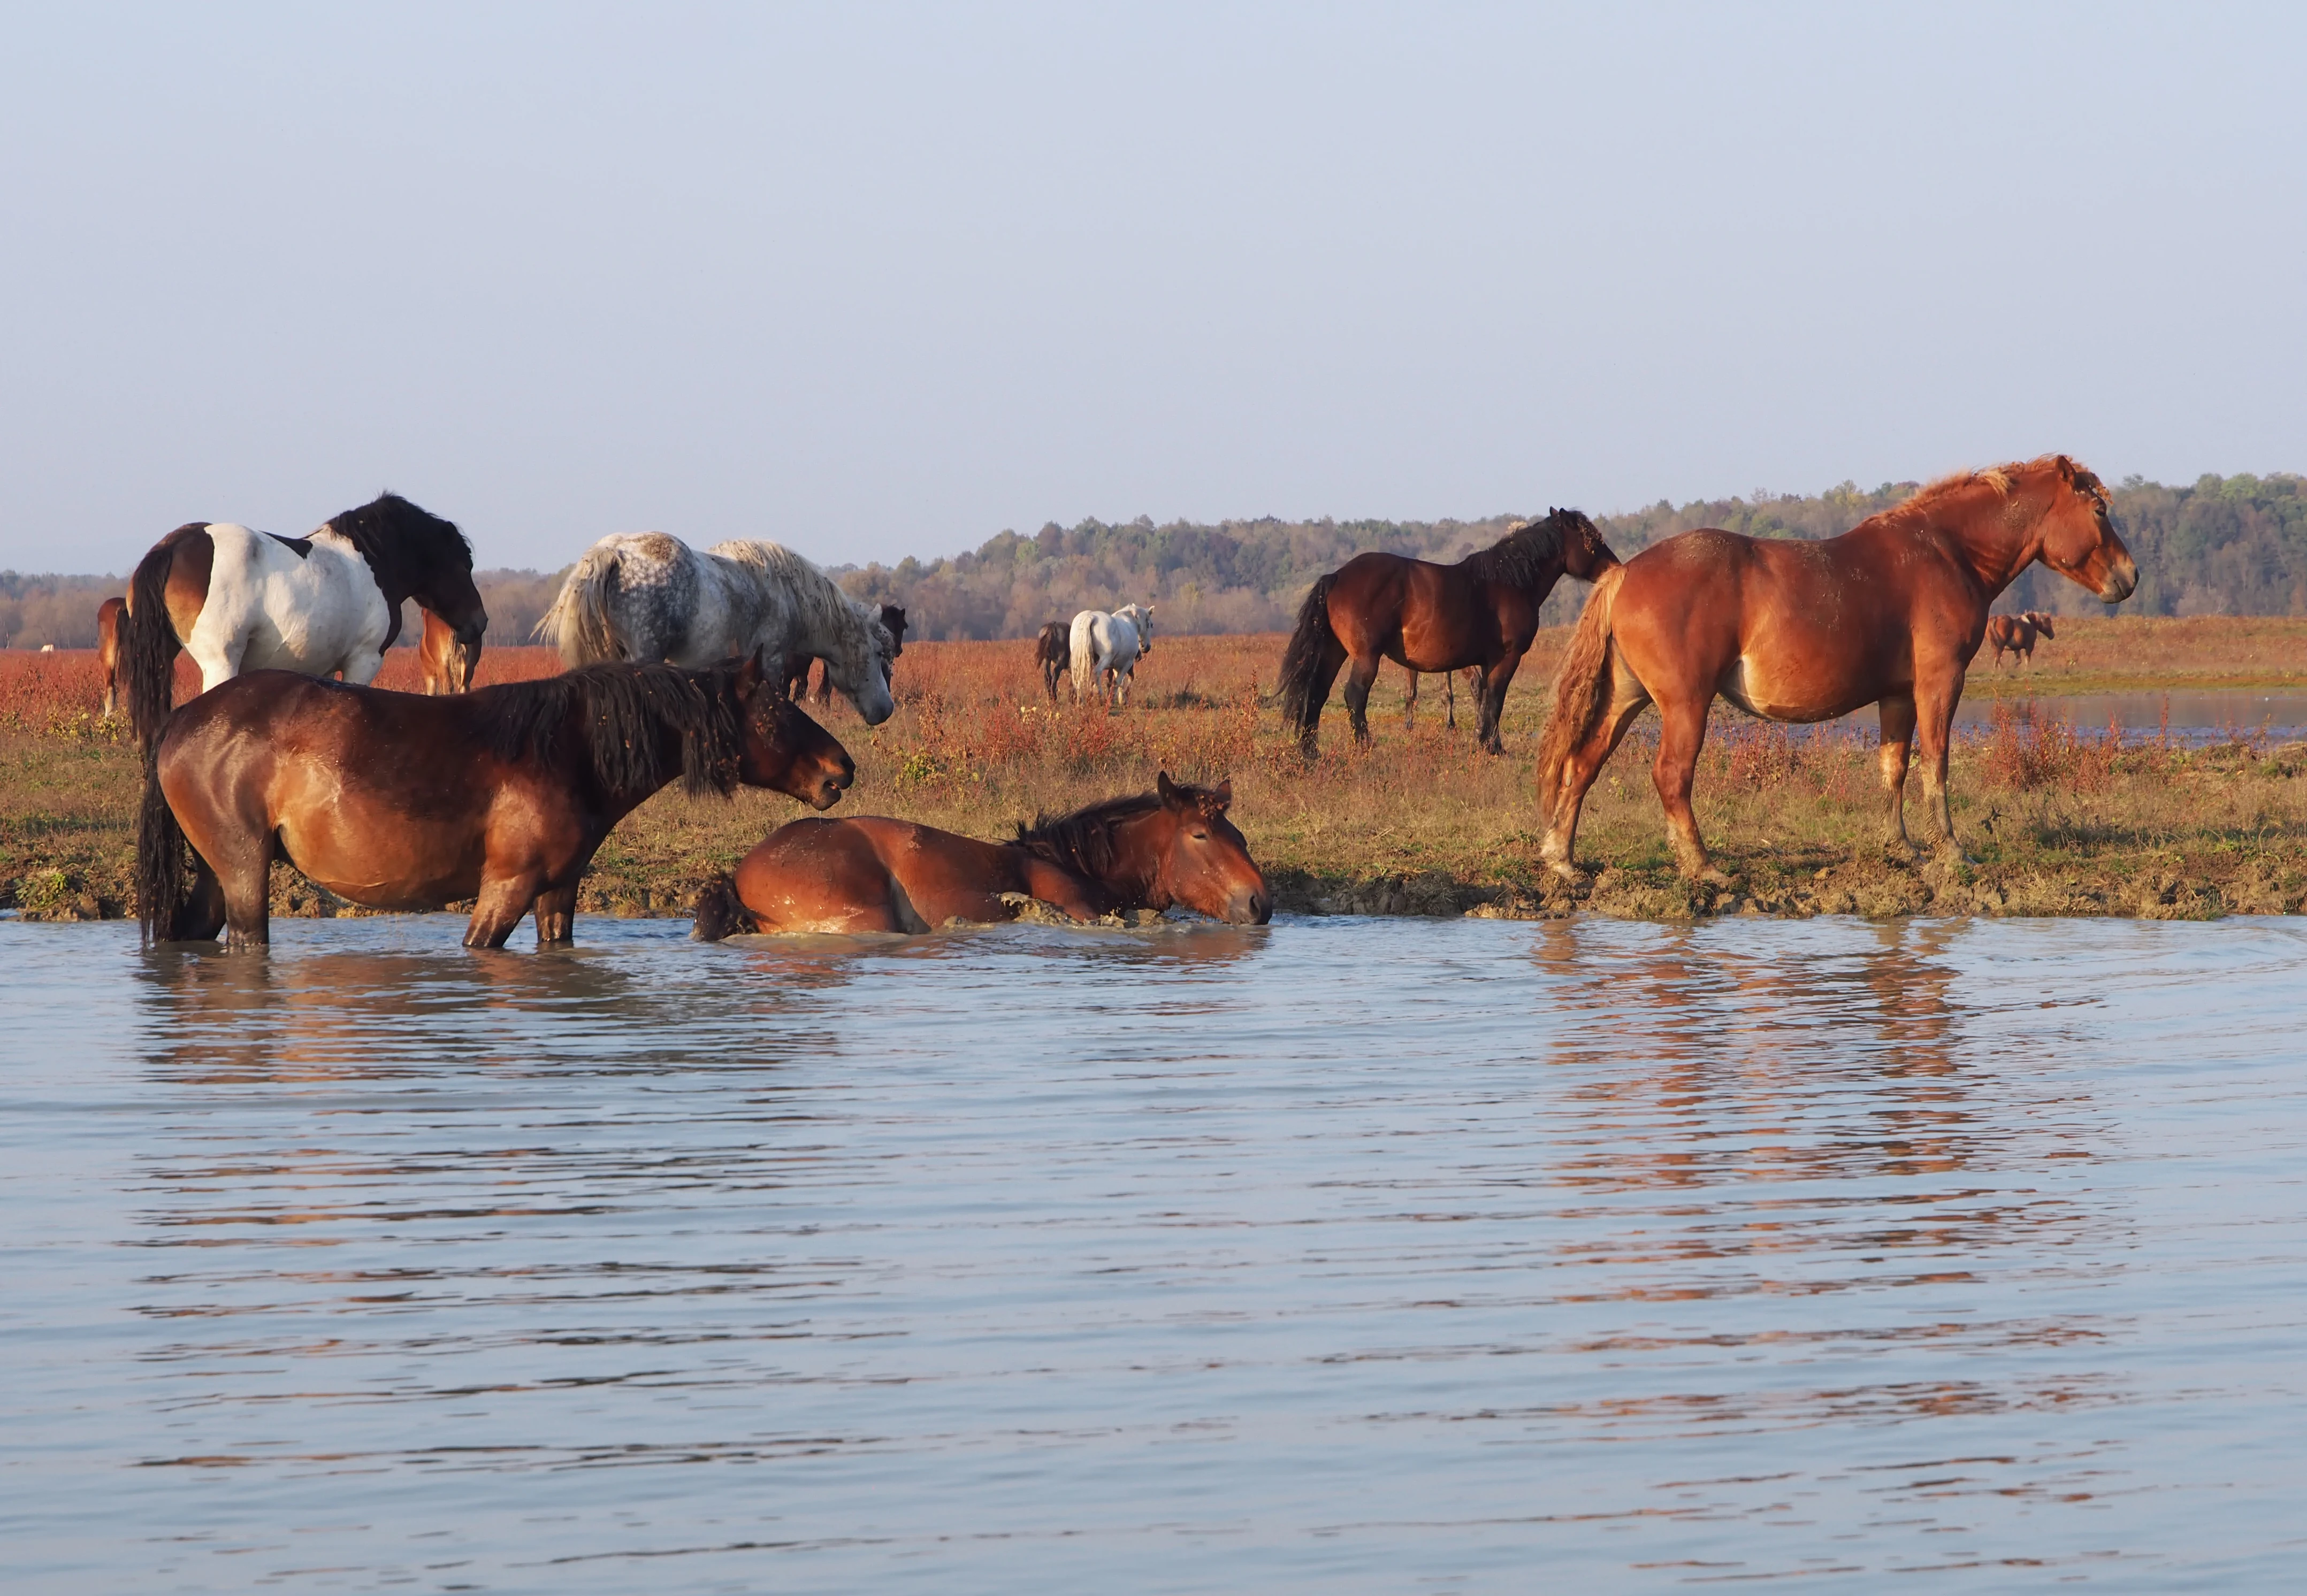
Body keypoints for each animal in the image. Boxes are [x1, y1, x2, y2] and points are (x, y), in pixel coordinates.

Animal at [135, 656, 854, 952]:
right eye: (776, 709)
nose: (841, 769)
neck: (567, 748)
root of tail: (182, 719)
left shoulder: (557, 888)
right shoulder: (507, 886)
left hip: (214, 873)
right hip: (243, 871)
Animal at [1034, 620, 1070, 703]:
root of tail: (1052, 627)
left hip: (1046, 659)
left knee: (1047, 676)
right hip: (1059, 660)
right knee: (1055, 674)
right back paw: (1054, 698)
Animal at [1069, 603, 1155, 707]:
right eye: (1151, 625)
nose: (1146, 647)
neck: (1131, 623)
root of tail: (1090, 617)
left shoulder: (1116, 665)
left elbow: (1119, 682)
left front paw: (1120, 700)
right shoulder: (1127, 664)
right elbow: (1118, 682)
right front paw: (1115, 700)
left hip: (1081, 660)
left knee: (1079, 677)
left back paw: (1081, 702)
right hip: (1105, 659)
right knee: (1097, 672)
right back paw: (1100, 697)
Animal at [1277, 509, 1618, 755]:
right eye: (1593, 540)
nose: (1615, 568)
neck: (1509, 583)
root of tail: (1337, 576)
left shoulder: (1486, 661)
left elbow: (1486, 698)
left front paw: (1488, 742)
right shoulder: (1507, 658)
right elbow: (1496, 699)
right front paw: (1491, 748)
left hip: (1334, 652)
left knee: (1317, 694)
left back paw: (1311, 752)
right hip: (1366, 656)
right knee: (1354, 696)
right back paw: (1365, 747)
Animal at [1986, 609, 2056, 665]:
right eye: (2049, 622)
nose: (2053, 635)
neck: (2031, 623)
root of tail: (1995, 619)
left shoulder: (2016, 649)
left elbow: (2019, 661)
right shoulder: (2029, 647)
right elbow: (2027, 661)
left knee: (1997, 659)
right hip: (2000, 647)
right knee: (1997, 659)